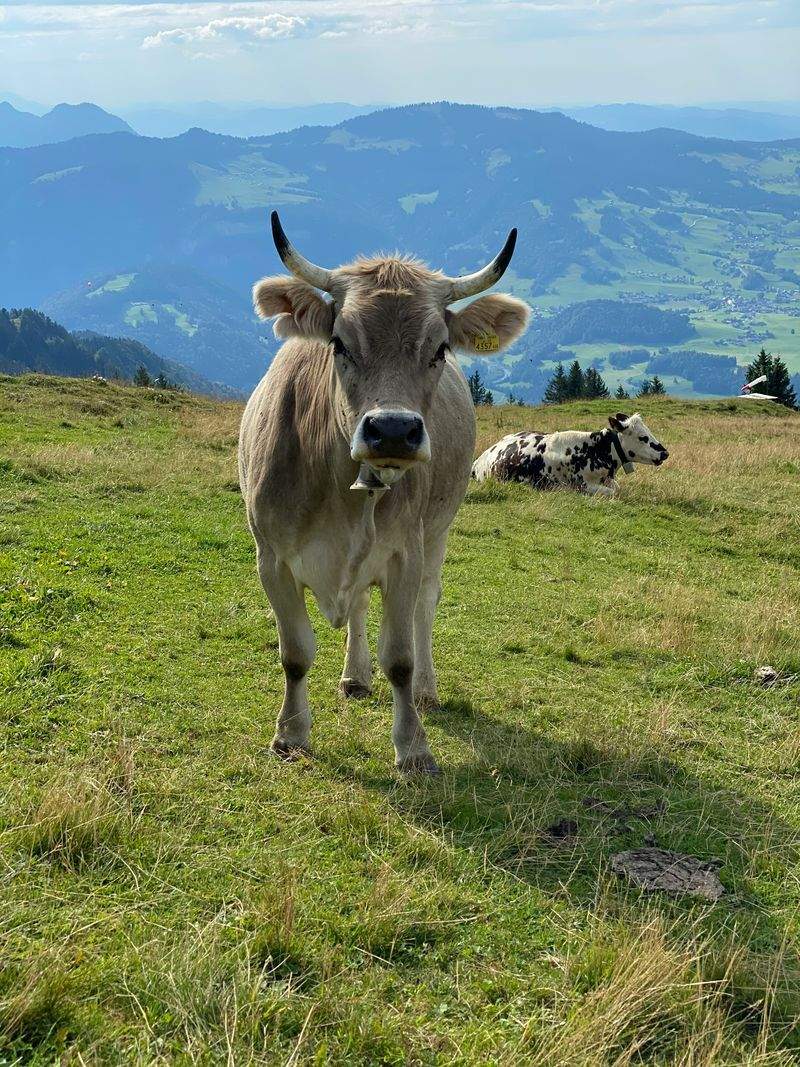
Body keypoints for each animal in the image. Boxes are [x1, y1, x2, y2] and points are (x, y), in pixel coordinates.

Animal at [238, 213, 530, 773]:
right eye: (339, 343)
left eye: (439, 347)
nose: (393, 431)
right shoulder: (271, 557)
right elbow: (295, 653)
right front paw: (290, 734)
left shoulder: (405, 553)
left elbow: (399, 657)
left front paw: (413, 747)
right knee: (356, 605)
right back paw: (354, 676)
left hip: (437, 531)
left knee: (426, 607)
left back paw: (426, 690)